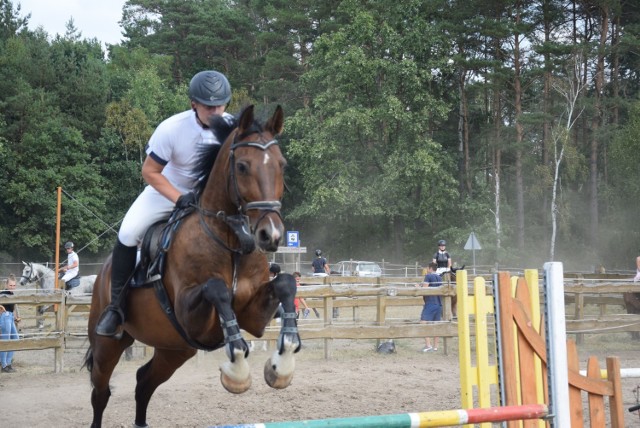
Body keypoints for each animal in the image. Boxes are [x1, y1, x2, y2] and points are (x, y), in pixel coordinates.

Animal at [84, 104, 300, 428]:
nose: (270, 235)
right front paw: (237, 368)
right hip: (107, 345)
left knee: (144, 382)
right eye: (242, 167)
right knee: (100, 393)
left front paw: (282, 363)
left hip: (175, 349)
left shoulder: (253, 316)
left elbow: (286, 282)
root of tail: (102, 274)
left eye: (282, 165)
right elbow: (216, 289)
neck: (231, 240)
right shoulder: (190, 315)